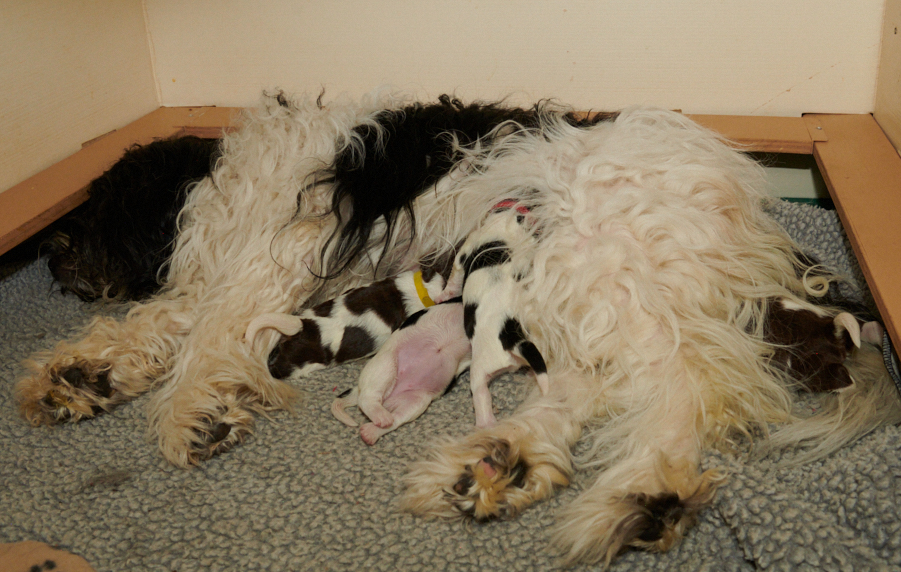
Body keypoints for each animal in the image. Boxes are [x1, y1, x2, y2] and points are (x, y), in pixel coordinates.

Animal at [330, 300, 472, 446]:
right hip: (386, 364)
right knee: (366, 399)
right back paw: (380, 416)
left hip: (417, 401)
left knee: (396, 418)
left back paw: (371, 432)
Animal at [436, 201, 548, 428]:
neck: (506, 225)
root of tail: (512, 337)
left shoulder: (464, 252)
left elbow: (453, 278)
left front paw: (444, 294)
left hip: (478, 371)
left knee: (480, 397)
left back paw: (485, 424)